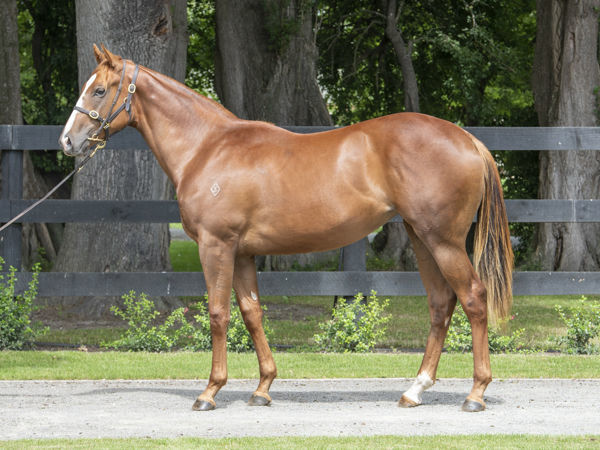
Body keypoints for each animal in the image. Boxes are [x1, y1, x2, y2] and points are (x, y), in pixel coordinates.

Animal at [59, 45, 510, 412]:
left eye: (99, 91)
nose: (67, 141)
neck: (208, 147)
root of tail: (468, 140)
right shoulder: (242, 252)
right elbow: (252, 312)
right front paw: (263, 387)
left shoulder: (216, 246)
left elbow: (218, 313)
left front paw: (210, 391)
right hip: (421, 238)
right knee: (441, 304)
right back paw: (415, 390)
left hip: (443, 241)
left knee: (473, 298)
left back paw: (475, 393)